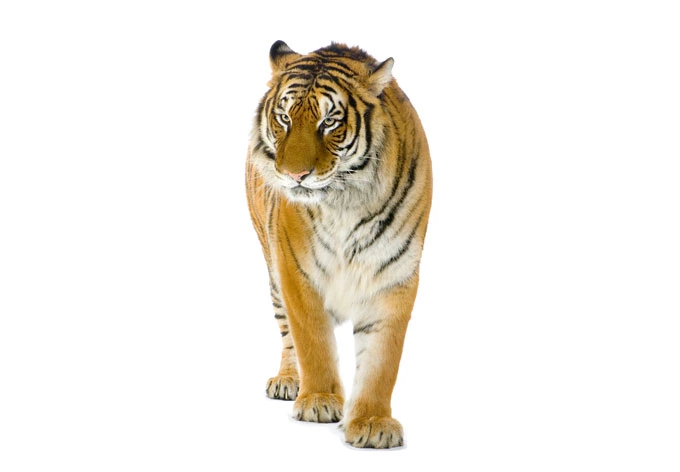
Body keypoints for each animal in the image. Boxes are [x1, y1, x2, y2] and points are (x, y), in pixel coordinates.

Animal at [245, 40, 432, 448]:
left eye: (329, 122)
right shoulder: (296, 270)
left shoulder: (394, 274)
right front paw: (318, 400)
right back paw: (288, 381)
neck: (346, 200)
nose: (295, 175)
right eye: (284, 118)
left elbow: (382, 359)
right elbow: (312, 341)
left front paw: (373, 422)